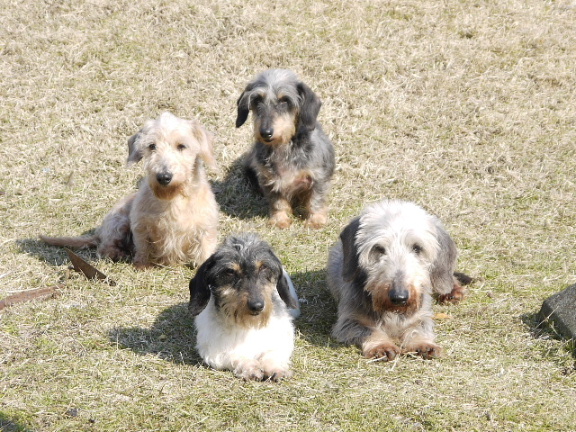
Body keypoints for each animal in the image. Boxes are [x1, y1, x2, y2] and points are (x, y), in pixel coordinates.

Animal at [40, 111, 219, 268]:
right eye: (152, 146)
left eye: (182, 146)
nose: (163, 177)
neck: (173, 198)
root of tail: (99, 233)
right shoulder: (140, 225)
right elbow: (143, 247)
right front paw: (142, 265)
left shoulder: (205, 228)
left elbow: (204, 248)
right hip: (118, 222)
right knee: (105, 247)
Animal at [189, 233, 300, 382]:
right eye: (230, 271)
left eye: (264, 267)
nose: (257, 306)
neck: (248, 325)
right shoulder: (214, 351)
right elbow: (236, 356)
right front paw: (251, 368)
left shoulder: (281, 341)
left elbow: (272, 354)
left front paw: (275, 368)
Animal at [234, 68, 336, 230]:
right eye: (257, 100)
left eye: (285, 100)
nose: (266, 132)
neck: (283, 147)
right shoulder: (269, 181)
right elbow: (278, 202)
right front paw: (280, 219)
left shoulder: (318, 177)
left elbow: (316, 199)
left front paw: (316, 220)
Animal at [326, 199, 470, 362]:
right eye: (378, 248)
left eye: (417, 248)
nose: (399, 297)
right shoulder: (349, 321)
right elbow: (369, 330)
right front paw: (381, 345)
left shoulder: (421, 315)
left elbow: (418, 329)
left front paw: (423, 343)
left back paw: (452, 290)